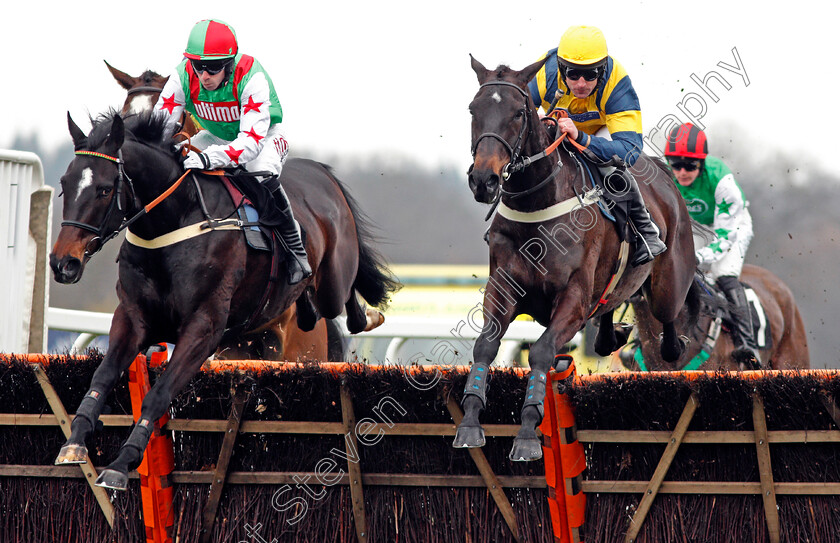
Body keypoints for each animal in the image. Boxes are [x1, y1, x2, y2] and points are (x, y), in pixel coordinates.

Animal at [50, 109, 398, 488]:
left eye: (103, 189)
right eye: (64, 185)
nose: (63, 263)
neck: (173, 224)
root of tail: (321, 172)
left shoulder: (203, 327)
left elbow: (159, 394)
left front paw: (121, 463)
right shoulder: (132, 318)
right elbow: (101, 377)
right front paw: (74, 442)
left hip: (334, 279)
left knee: (345, 303)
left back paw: (368, 314)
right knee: (308, 308)